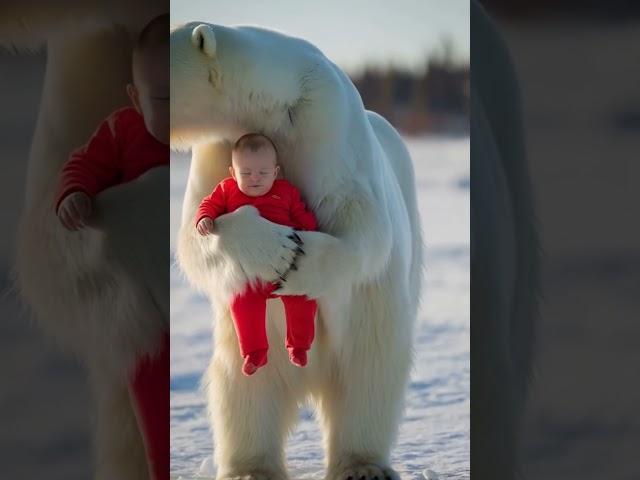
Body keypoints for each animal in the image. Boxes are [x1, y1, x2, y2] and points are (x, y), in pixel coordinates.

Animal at [171, 23, 420, 480]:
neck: (272, 102)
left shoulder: (328, 124)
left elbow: (364, 223)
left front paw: (297, 262)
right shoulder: (217, 145)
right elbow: (194, 231)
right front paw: (269, 250)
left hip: (371, 319)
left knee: (367, 379)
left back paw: (362, 464)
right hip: (245, 344)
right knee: (244, 389)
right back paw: (249, 468)